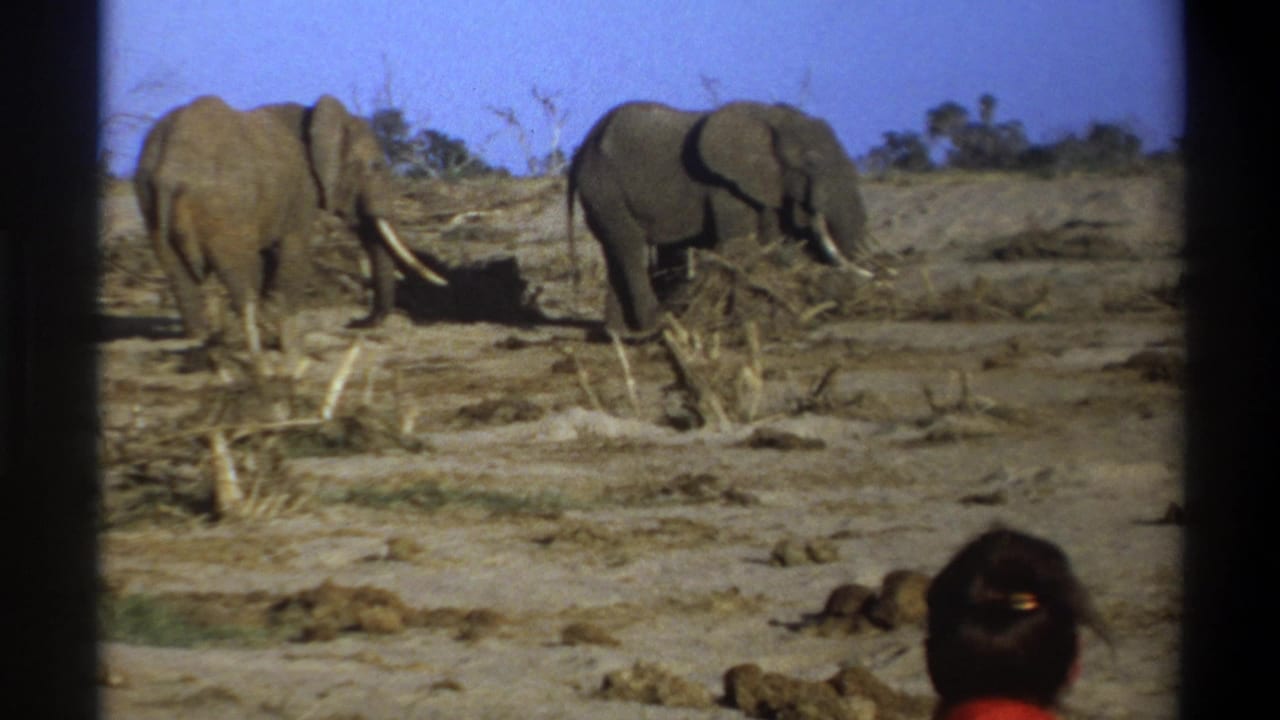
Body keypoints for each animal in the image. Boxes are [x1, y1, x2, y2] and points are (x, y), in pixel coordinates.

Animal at [134, 94, 445, 355]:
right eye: (375, 166)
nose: (353, 322)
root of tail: (170, 169)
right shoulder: (301, 189)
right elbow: (292, 248)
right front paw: (284, 321)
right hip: (221, 206)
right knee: (239, 266)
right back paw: (255, 332)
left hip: (149, 201)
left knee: (177, 270)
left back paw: (200, 335)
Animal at [567, 100, 874, 336]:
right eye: (811, 162)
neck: (769, 117)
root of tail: (583, 147)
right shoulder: (725, 187)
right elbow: (741, 245)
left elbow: (768, 240)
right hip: (604, 188)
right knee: (629, 248)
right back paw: (657, 325)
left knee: (619, 252)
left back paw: (620, 335)